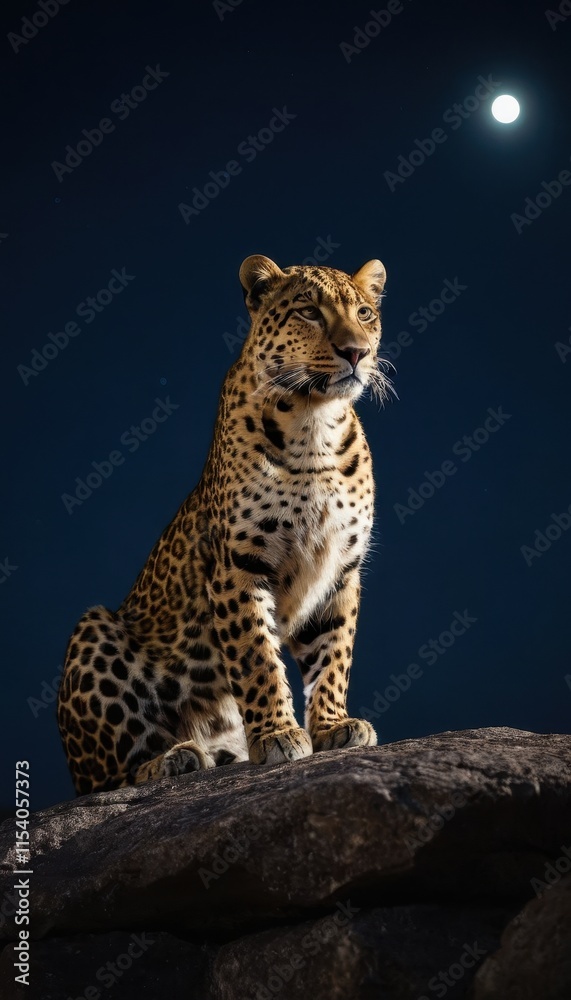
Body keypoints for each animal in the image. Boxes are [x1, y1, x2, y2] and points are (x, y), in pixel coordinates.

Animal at [57, 254, 393, 795]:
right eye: (309, 313)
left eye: (364, 313)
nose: (356, 352)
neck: (316, 424)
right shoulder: (239, 564)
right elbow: (257, 655)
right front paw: (278, 735)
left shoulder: (341, 569)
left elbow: (334, 654)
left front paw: (332, 726)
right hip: (92, 633)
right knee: (108, 779)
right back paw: (174, 759)